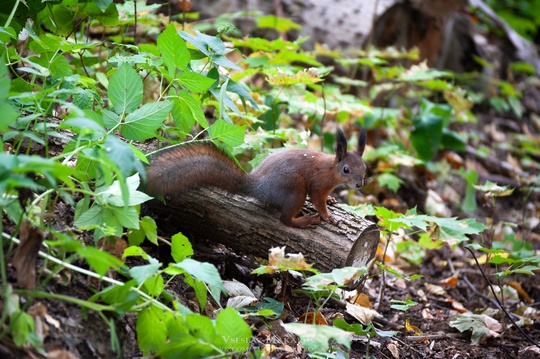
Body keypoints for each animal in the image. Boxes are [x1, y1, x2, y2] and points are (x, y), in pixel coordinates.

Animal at [146, 129, 370, 228]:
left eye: (365, 167)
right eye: (346, 169)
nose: (359, 184)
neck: (331, 170)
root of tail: (258, 187)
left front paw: (331, 200)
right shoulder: (318, 183)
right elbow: (317, 199)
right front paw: (327, 215)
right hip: (295, 188)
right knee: (284, 219)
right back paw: (304, 221)